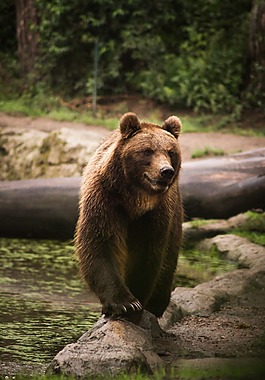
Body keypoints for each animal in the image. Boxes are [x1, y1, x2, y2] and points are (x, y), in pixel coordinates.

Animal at [74, 112, 182, 318]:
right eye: (147, 151)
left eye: (171, 152)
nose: (166, 171)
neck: (135, 200)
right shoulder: (105, 202)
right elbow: (100, 245)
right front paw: (126, 303)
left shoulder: (155, 214)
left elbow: (146, 254)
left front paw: (137, 299)